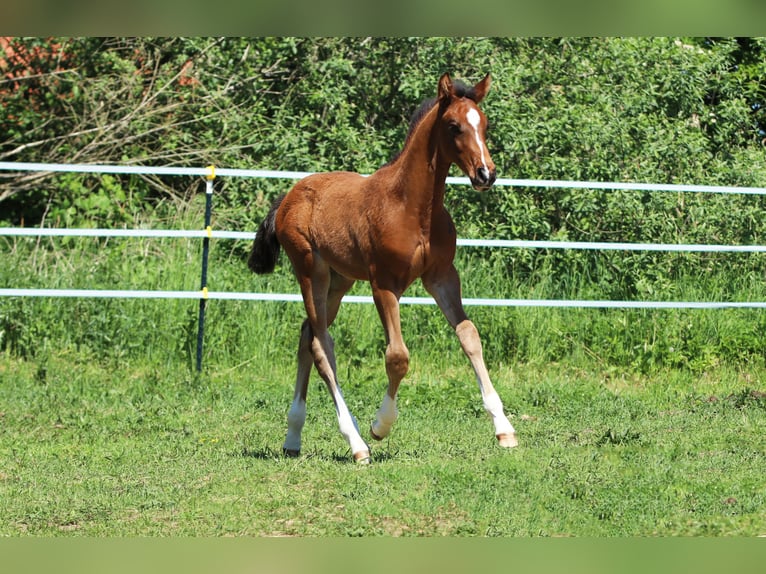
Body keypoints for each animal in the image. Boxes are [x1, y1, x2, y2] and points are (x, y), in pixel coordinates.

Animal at [248, 73, 518, 463]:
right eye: (453, 126)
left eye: (484, 124)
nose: (486, 174)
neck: (412, 207)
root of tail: (288, 198)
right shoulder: (384, 284)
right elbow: (397, 356)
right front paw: (381, 425)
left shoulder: (441, 276)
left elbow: (469, 336)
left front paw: (504, 428)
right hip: (310, 271)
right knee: (322, 346)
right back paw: (357, 443)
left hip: (339, 280)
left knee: (306, 336)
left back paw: (293, 436)